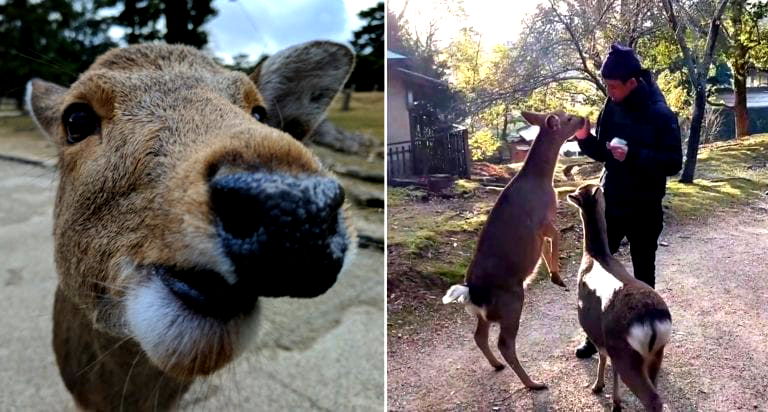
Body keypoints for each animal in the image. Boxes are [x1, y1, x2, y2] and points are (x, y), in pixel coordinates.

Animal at [444, 108, 584, 390]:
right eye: (567, 118)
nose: (585, 119)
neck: (542, 181)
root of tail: (472, 292)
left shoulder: (542, 229)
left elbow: (546, 248)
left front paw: (554, 275)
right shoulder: (544, 221)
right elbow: (556, 239)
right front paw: (557, 276)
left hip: (487, 313)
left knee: (479, 335)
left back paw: (497, 366)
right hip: (512, 301)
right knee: (505, 343)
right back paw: (534, 383)